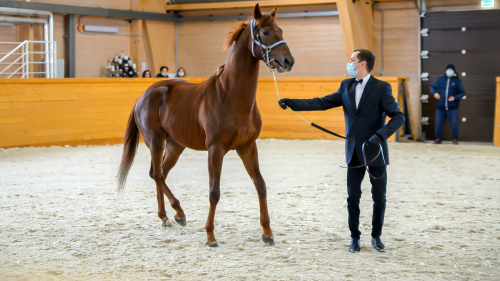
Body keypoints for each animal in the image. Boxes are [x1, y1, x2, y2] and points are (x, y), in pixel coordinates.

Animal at [118, 3, 292, 245]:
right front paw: (210, 235)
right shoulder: (215, 149)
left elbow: (261, 185)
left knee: (159, 173)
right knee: (158, 175)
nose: (288, 61)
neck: (231, 95)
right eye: (265, 32)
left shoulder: (248, 147)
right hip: (156, 141)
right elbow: (214, 191)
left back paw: (165, 217)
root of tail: (145, 94)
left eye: (281, 30)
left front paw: (267, 233)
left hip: (175, 145)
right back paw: (179, 212)